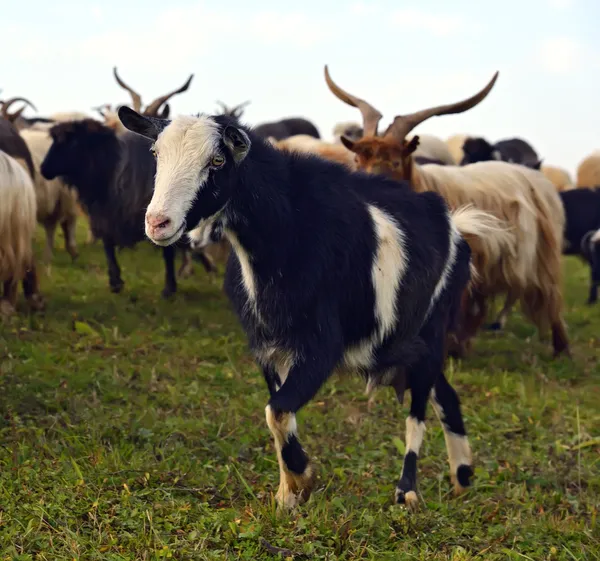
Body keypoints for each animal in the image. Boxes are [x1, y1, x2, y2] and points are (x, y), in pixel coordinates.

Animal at [39, 120, 213, 298]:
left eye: (72, 141)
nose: (43, 169)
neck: (111, 170)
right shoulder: (106, 214)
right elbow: (108, 245)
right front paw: (115, 281)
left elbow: (167, 252)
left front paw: (169, 288)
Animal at [120, 105, 510, 512]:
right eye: (156, 154)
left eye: (217, 160)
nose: (158, 223)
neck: (290, 233)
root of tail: (456, 226)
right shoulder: (267, 348)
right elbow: (278, 410)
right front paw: (287, 494)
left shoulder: (322, 346)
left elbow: (276, 410)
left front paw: (303, 479)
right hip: (409, 345)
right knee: (445, 394)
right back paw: (462, 478)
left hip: (433, 330)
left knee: (417, 410)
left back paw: (408, 491)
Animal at [326, 64, 568, 354]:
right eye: (357, 158)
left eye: (395, 162)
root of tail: (535, 175)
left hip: (543, 259)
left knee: (552, 300)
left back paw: (561, 349)